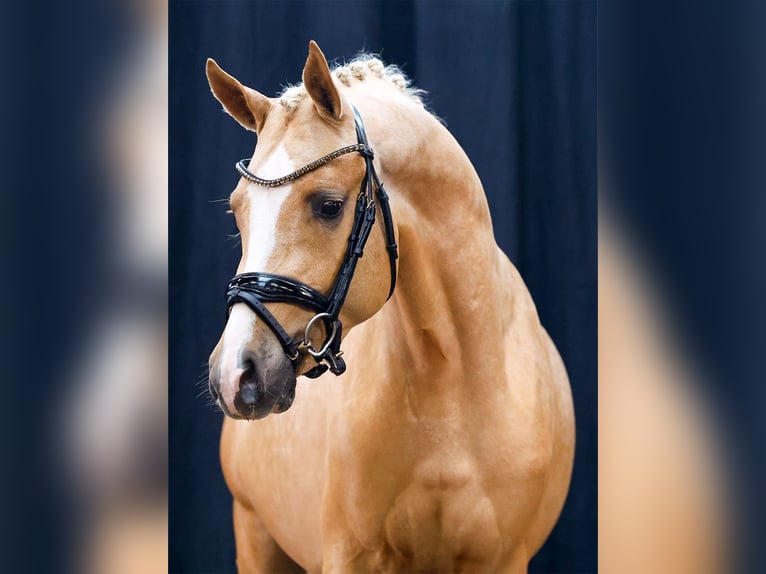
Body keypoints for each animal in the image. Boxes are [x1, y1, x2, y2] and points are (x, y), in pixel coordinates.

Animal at [207, 41, 572, 574]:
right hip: (255, 536)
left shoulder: (502, 559)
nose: (236, 374)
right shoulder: (351, 556)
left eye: (329, 206)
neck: (451, 382)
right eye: (238, 210)